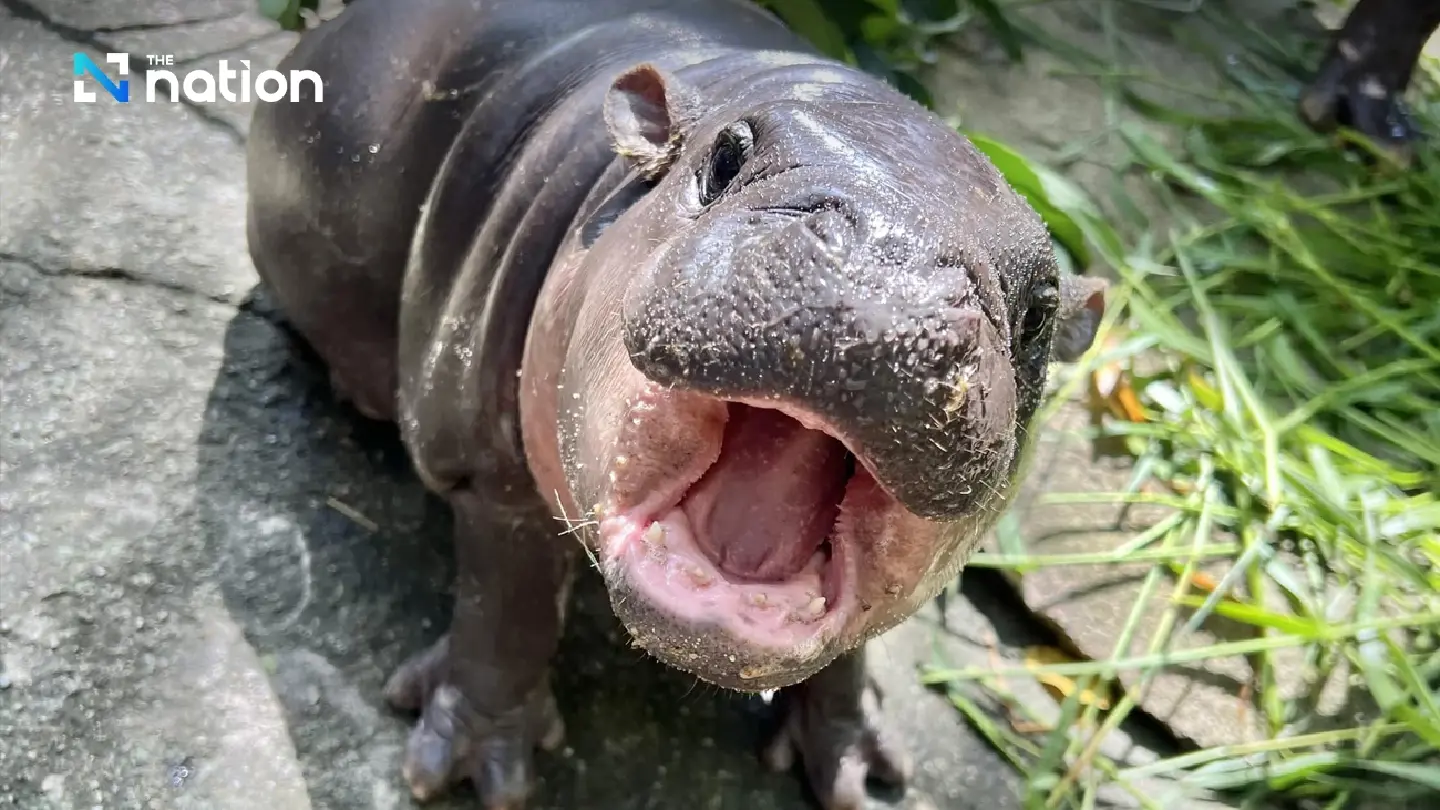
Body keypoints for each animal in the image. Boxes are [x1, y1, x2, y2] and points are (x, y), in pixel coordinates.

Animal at [244, 0, 1107, 807]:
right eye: (726, 156)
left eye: (1040, 311)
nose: (884, 266)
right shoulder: (491, 470)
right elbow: (507, 602)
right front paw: (471, 770)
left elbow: (849, 654)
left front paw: (861, 771)